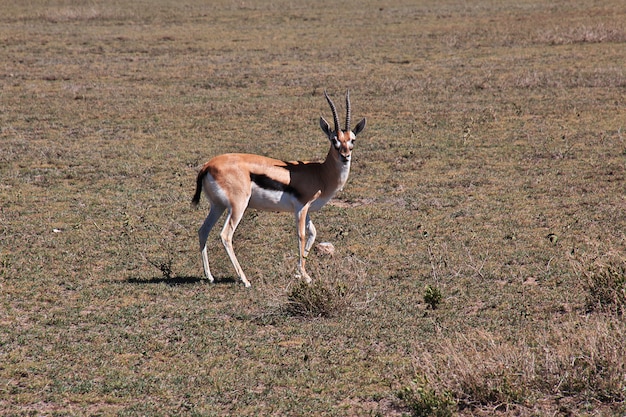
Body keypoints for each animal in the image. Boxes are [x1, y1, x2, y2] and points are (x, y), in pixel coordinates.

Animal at [191, 90, 366, 286]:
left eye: (352, 140)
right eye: (334, 140)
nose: (345, 156)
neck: (320, 173)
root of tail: (208, 165)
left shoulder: (306, 210)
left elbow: (312, 233)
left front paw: (300, 273)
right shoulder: (301, 208)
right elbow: (301, 235)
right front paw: (304, 275)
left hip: (218, 206)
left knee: (203, 230)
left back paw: (210, 276)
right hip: (237, 207)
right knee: (226, 235)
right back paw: (245, 280)